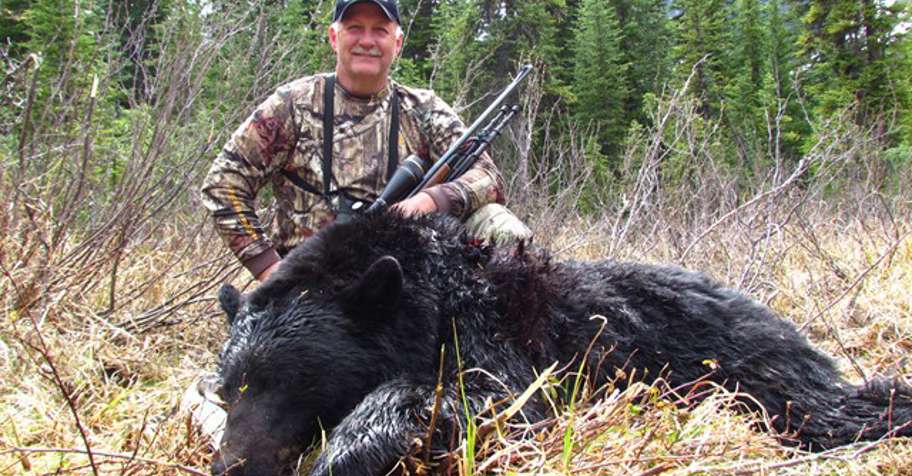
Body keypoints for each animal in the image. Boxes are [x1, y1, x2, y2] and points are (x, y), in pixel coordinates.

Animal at [210, 212, 912, 476]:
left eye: (292, 380)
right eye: (228, 390)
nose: (229, 466)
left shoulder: (499, 344)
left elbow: (493, 399)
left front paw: (346, 454)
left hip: (751, 367)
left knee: (825, 408)